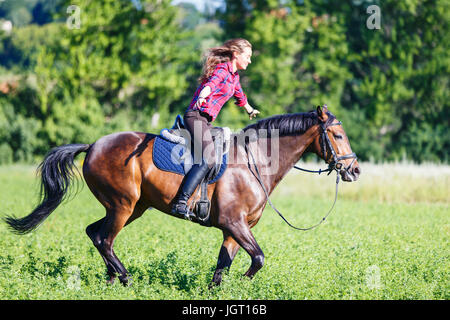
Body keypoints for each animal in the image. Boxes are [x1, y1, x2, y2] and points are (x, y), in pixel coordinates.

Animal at [3, 105, 360, 288]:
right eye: (338, 134)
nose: (354, 170)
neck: (255, 161)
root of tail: (92, 146)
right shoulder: (235, 223)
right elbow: (257, 259)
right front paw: (244, 285)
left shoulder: (234, 229)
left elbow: (223, 266)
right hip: (123, 205)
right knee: (104, 238)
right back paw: (126, 279)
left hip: (132, 207)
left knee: (95, 233)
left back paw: (111, 280)